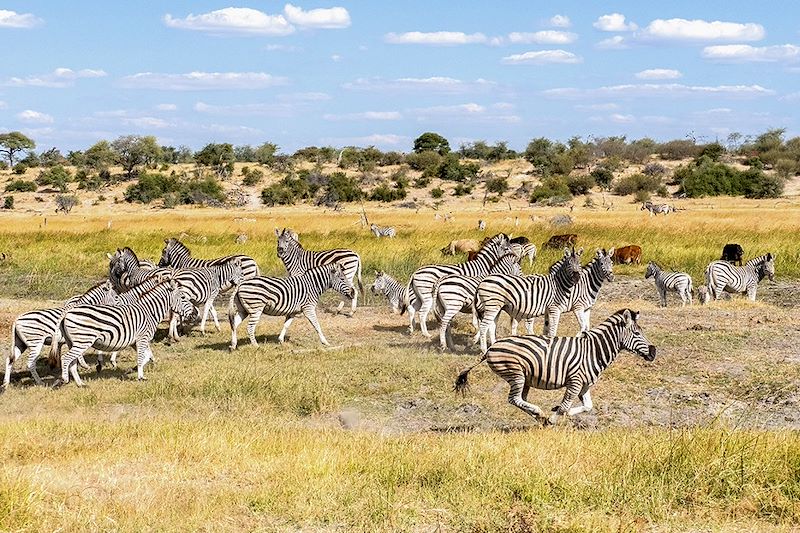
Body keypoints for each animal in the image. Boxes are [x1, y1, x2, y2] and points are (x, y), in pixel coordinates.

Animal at [50, 278, 198, 386]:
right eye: (183, 297)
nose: (196, 313)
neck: (149, 311)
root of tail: (67, 312)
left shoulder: (135, 341)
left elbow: (147, 356)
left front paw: (135, 369)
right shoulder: (142, 337)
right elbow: (141, 357)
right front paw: (140, 376)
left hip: (72, 342)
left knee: (72, 362)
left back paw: (80, 383)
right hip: (83, 341)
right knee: (66, 358)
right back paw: (64, 379)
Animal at [456, 308, 656, 424]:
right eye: (637, 333)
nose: (654, 352)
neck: (594, 350)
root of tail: (491, 347)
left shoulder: (585, 385)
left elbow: (587, 406)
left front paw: (556, 412)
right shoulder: (575, 381)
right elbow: (566, 405)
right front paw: (553, 418)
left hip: (525, 378)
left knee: (520, 400)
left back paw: (538, 415)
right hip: (516, 374)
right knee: (514, 399)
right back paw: (540, 414)